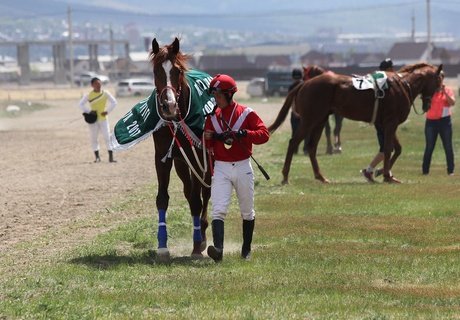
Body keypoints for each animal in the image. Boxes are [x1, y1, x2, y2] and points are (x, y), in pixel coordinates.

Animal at [149, 38, 212, 260]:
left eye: (176, 70)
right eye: (156, 70)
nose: (168, 105)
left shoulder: (198, 159)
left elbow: (197, 199)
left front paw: (197, 246)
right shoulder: (163, 158)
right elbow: (162, 199)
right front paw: (162, 246)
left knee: (205, 193)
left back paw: (202, 236)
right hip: (181, 164)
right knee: (189, 191)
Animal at [270, 62, 442, 185]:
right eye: (439, 81)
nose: (428, 105)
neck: (403, 84)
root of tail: (305, 84)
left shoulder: (385, 124)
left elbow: (396, 149)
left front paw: (381, 172)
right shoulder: (390, 122)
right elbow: (388, 149)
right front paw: (386, 175)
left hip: (320, 120)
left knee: (312, 147)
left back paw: (321, 176)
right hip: (310, 120)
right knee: (293, 142)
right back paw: (285, 176)